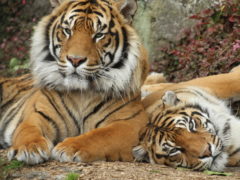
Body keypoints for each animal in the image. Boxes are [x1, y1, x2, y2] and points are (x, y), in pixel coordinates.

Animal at [0, 0, 150, 165]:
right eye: (67, 31)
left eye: (99, 35)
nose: (75, 59)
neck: (82, 94)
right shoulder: (37, 114)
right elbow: (28, 129)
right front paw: (29, 147)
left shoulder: (131, 123)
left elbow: (100, 135)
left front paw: (69, 147)